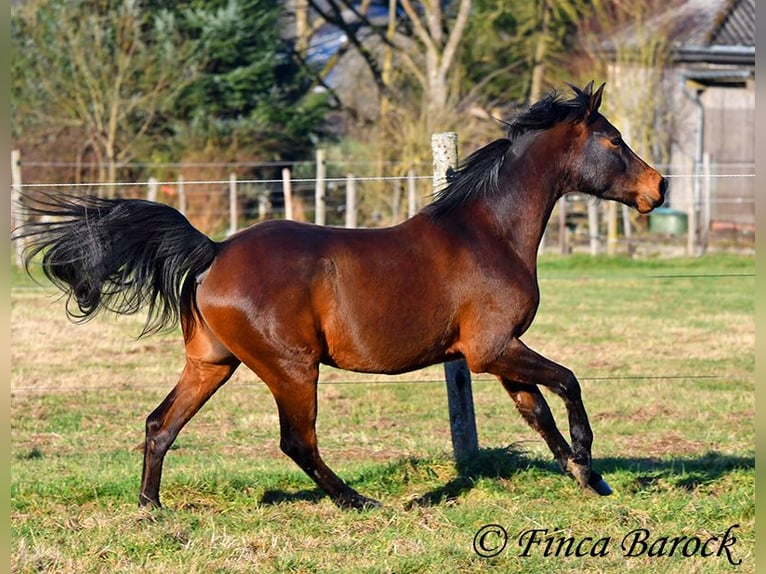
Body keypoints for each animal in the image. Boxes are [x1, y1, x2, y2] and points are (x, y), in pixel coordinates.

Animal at [16, 83, 664, 510]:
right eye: (613, 140)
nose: (658, 188)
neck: (488, 232)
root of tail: (213, 251)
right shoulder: (492, 349)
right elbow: (569, 383)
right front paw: (589, 463)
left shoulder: (496, 354)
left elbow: (538, 413)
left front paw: (587, 477)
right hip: (291, 367)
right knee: (296, 441)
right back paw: (358, 502)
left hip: (212, 363)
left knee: (160, 424)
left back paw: (152, 509)